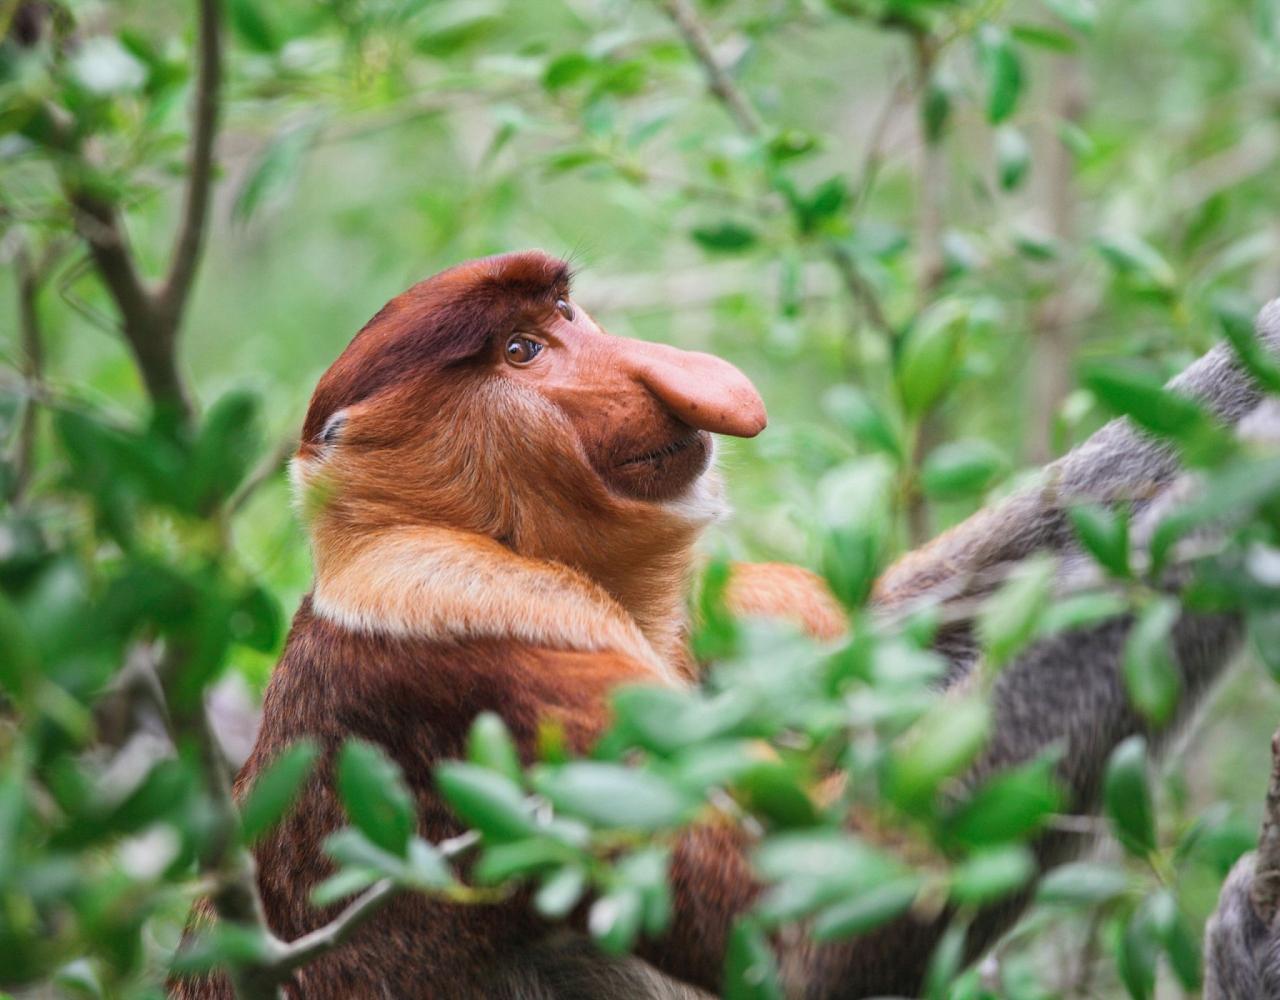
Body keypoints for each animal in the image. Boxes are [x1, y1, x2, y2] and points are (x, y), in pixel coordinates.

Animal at [172, 252, 1280, 998]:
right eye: (521, 352)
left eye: (566, 314)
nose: (662, 371)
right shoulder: (475, 642)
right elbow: (804, 930)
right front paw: (1244, 477)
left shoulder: (733, 616)